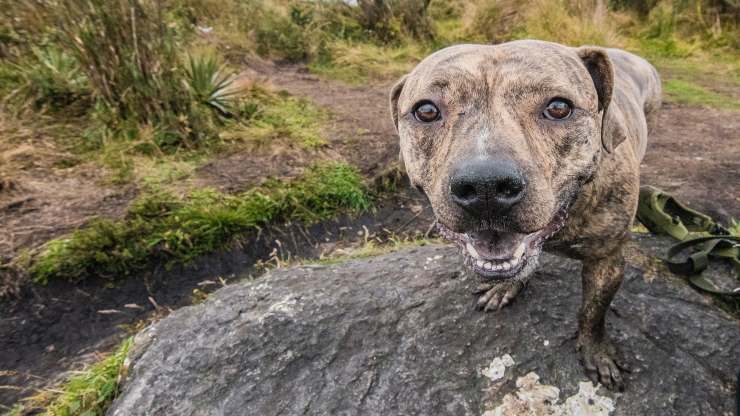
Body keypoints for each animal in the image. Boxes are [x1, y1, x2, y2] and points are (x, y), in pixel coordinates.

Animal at [390, 39, 660, 390]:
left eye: (559, 107)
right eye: (426, 110)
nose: (486, 186)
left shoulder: (608, 261)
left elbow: (593, 311)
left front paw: (596, 350)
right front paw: (508, 286)